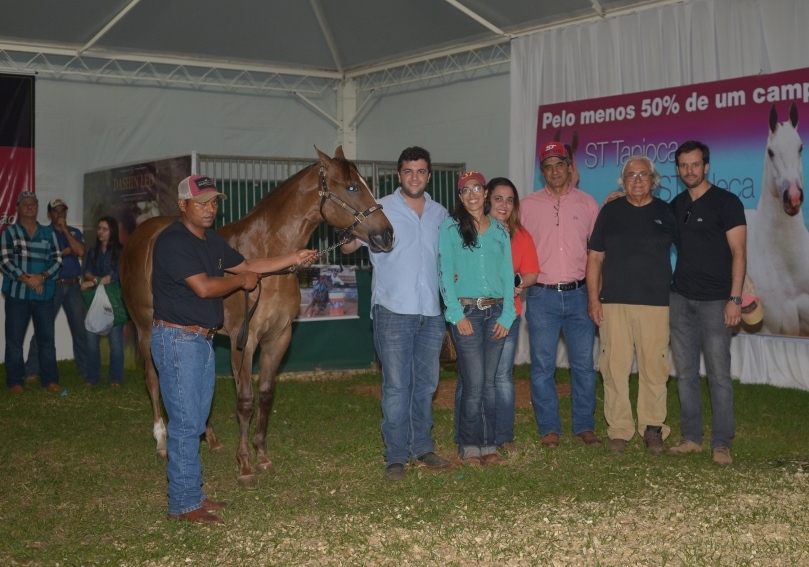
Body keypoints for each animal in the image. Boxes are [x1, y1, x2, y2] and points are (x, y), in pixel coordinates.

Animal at [120, 148, 394, 488]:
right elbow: (245, 400)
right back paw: (161, 441)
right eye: (352, 187)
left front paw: (262, 456)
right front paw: (245, 465)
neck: (267, 255)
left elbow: (264, 395)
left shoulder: (278, 338)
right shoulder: (246, 340)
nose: (387, 235)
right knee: (153, 380)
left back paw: (210, 438)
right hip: (147, 329)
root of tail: (138, 238)